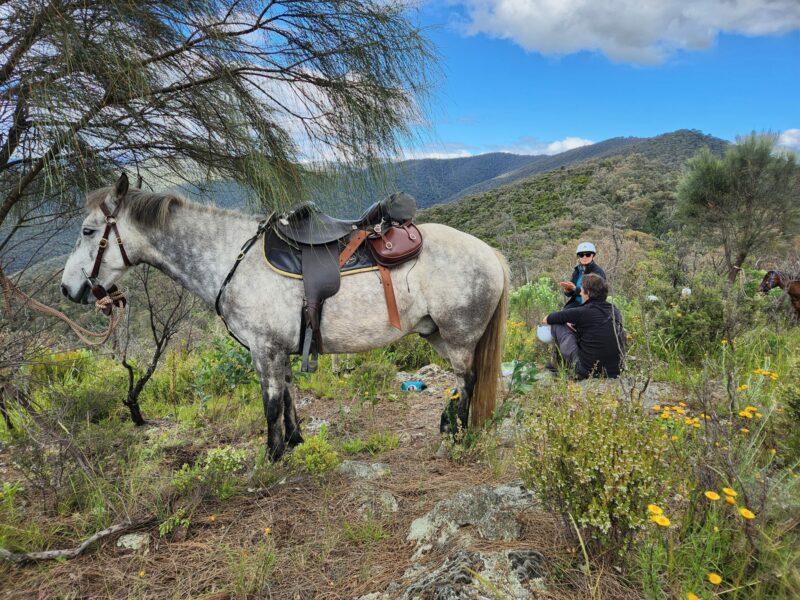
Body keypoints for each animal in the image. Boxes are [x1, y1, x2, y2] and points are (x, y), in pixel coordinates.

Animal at [60, 175, 509, 460]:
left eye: (88, 231)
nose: (68, 289)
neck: (233, 259)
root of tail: (489, 253)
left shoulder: (264, 350)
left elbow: (271, 403)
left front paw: (272, 456)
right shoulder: (280, 350)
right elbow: (289, 396)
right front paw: (294, 441)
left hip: (459, 336)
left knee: (467, 380)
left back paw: (458, 434)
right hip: (436, 333)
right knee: (460, 382)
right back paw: (449, 425)